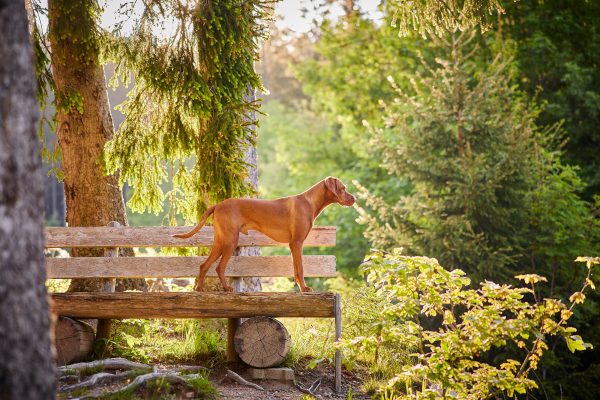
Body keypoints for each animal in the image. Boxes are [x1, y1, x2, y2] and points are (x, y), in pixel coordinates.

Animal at [171, 177, 354, 292]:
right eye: (343, 188)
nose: (354, 199)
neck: (309, 202)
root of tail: (218, 205)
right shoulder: (296, 243)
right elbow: (300, 269)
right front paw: (304, 288)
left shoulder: (293, 245)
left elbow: (295, 270)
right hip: (230, 241)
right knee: (219, 267)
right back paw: (226, 288)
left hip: (220, 241)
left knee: (204, 265)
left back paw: (199, 289)